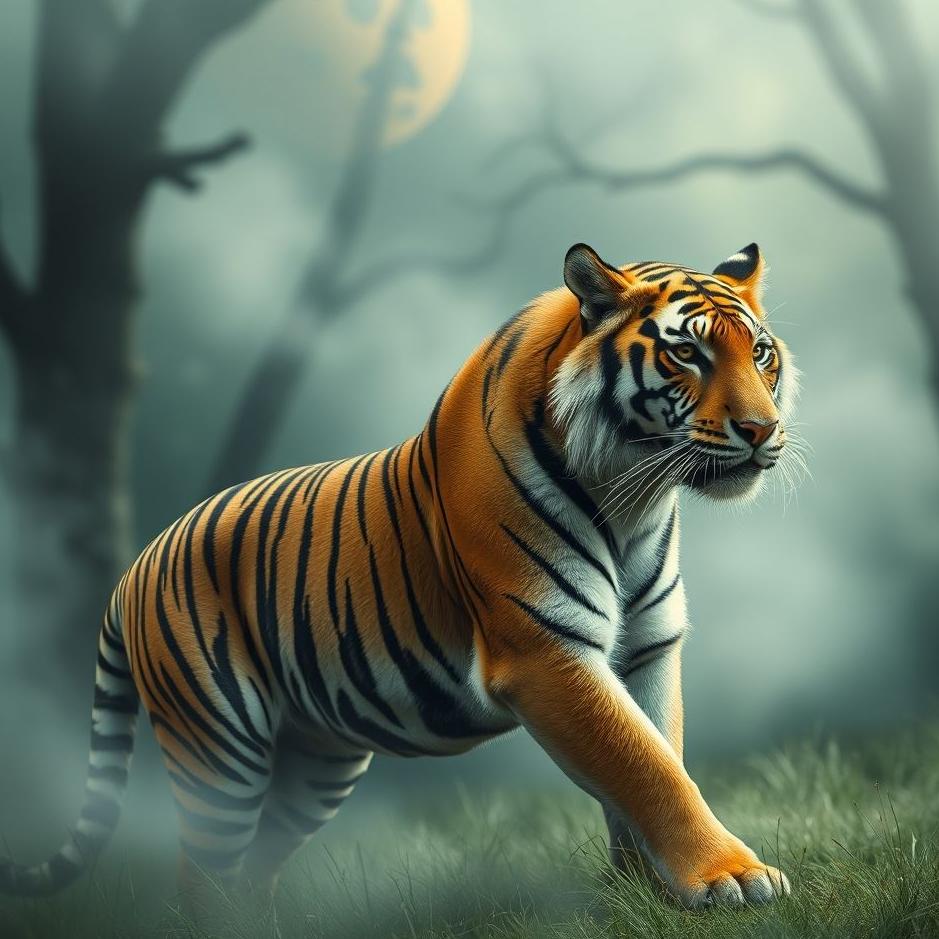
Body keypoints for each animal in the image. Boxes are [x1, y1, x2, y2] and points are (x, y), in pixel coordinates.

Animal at [1, 242, 796, 914]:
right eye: (686, 353)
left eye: (759, 353)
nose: (762, 430)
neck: (634, 496)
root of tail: (139, 561)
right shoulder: (546, 650)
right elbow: (646, 765)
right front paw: (730, 877)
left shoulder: (648, 647)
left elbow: (653, 754)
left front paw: (651, 893)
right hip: (216, 747)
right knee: (203, 878)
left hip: (314, 760)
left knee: (252, 872)